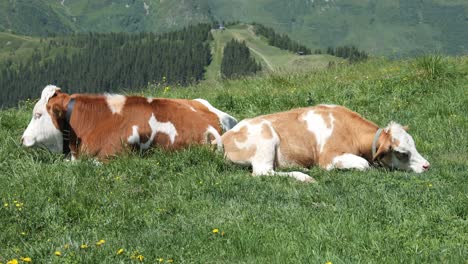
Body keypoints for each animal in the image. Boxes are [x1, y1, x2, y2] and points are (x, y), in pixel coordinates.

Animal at [219, 104, 432, 183]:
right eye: (402, 153)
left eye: (414, 145)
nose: (426, 166)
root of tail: (225, 137)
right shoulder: (329, 157)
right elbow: (363, 164)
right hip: (266, 139)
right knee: (263, 172)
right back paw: (304, 177)